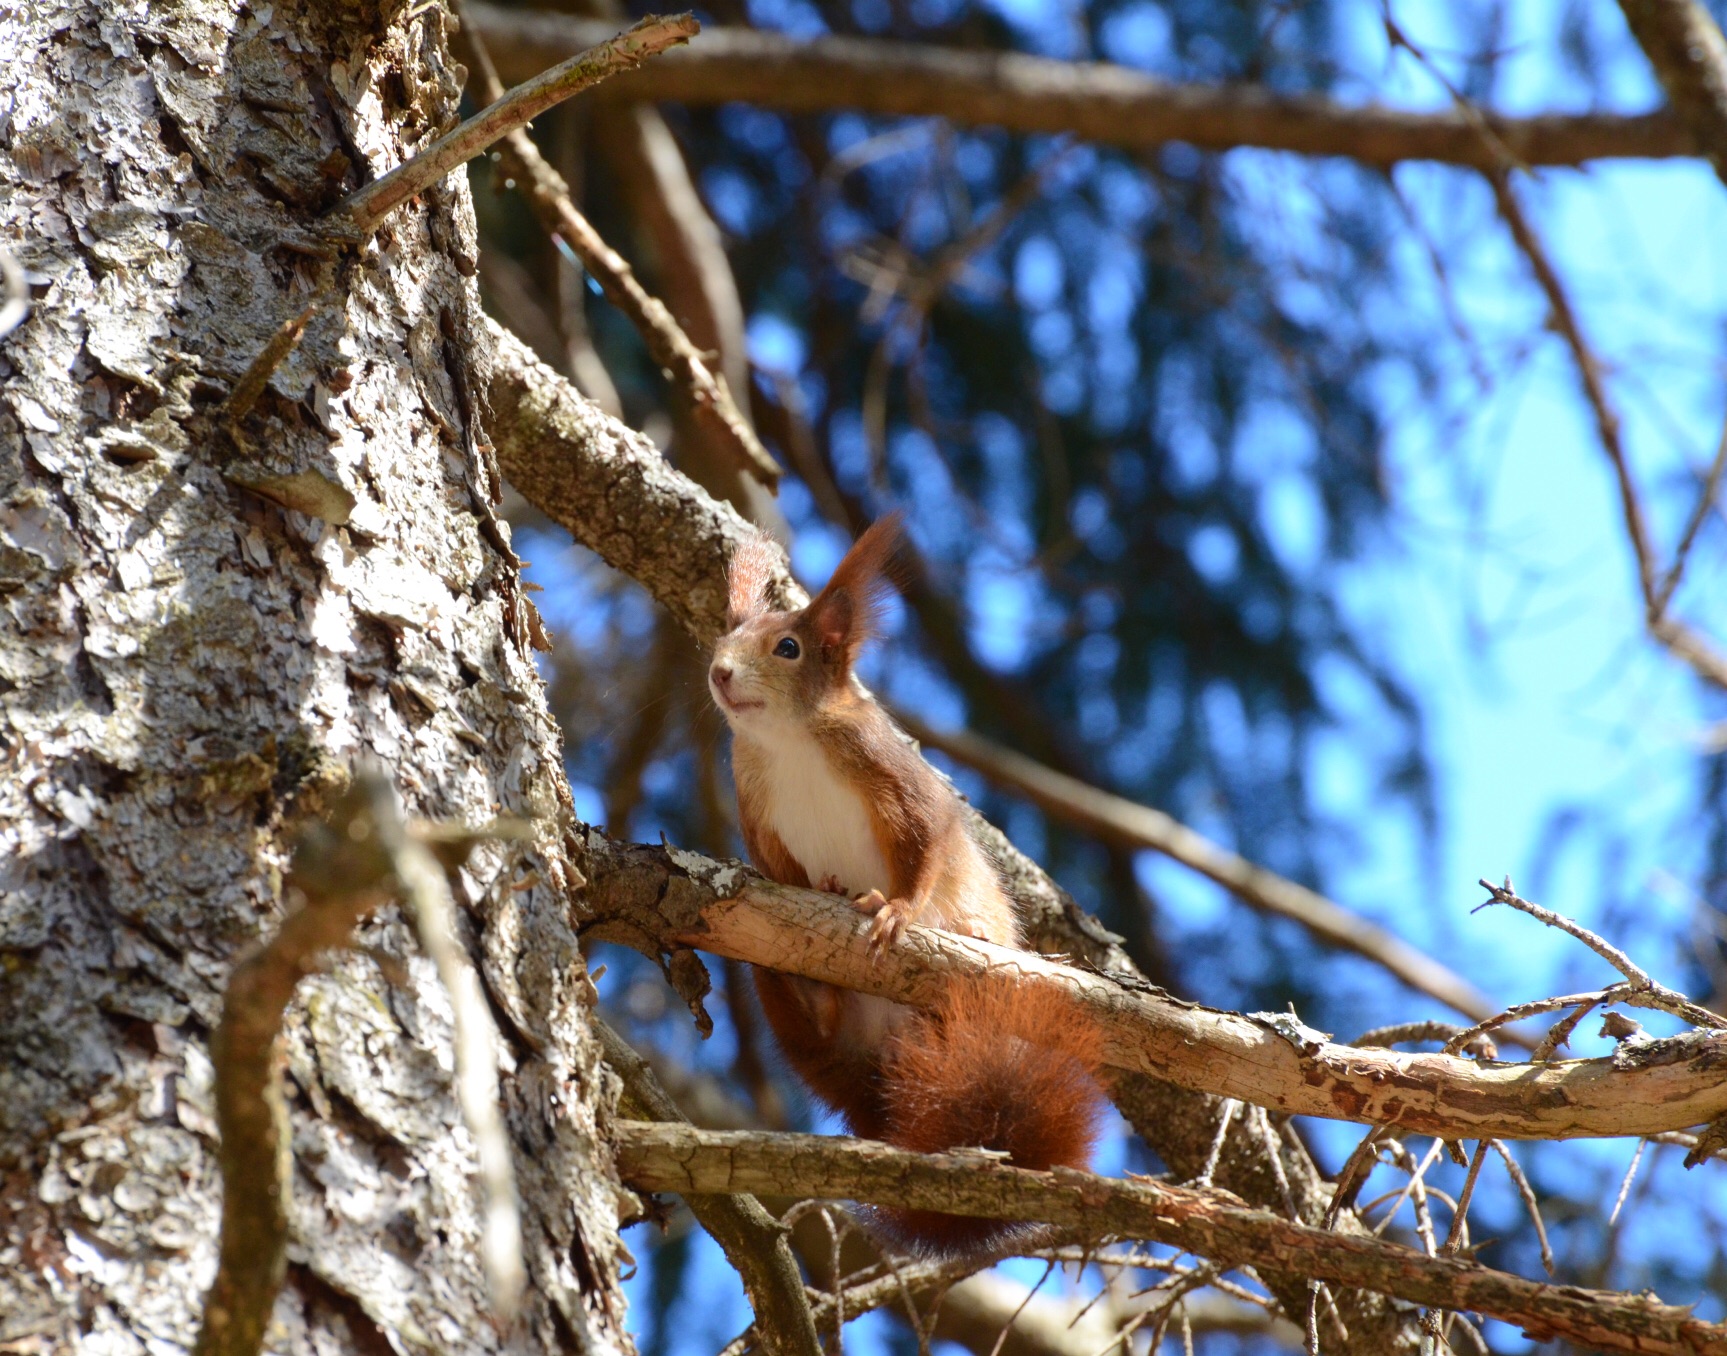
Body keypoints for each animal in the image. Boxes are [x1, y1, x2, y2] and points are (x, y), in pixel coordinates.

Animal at [708, 514, 1104, 1255]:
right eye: (722, 637)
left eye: (787, 647)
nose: (718, 672)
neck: (787, 741)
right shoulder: (754, 810)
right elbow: (777, 870)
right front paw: (830, 889)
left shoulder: (895, 783)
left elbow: (925, 847)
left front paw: (897, 911)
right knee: (812, 1024)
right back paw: (816, 993)